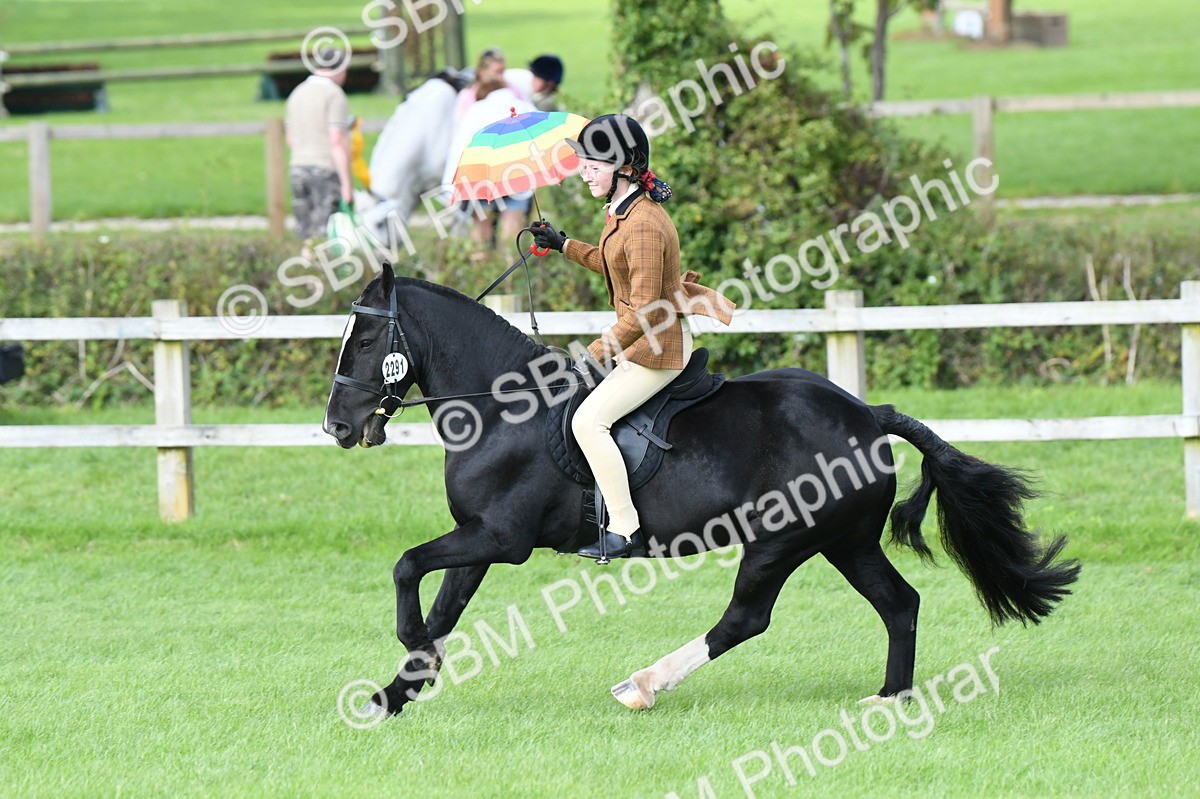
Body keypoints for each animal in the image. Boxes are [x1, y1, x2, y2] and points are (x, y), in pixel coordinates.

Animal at [322, 264, 1081, 716]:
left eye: (364, 342)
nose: (336, 425)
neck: (503, 405)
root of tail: (868, 414)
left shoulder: (500, 539)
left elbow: (408, 568)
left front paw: (412, 652)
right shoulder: (478, 538)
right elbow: (444, 601)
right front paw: (396, 693)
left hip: (781, 541)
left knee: (746, 617)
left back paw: (643, 685)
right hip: (845, 541)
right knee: (899, 604)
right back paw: (890, 697)